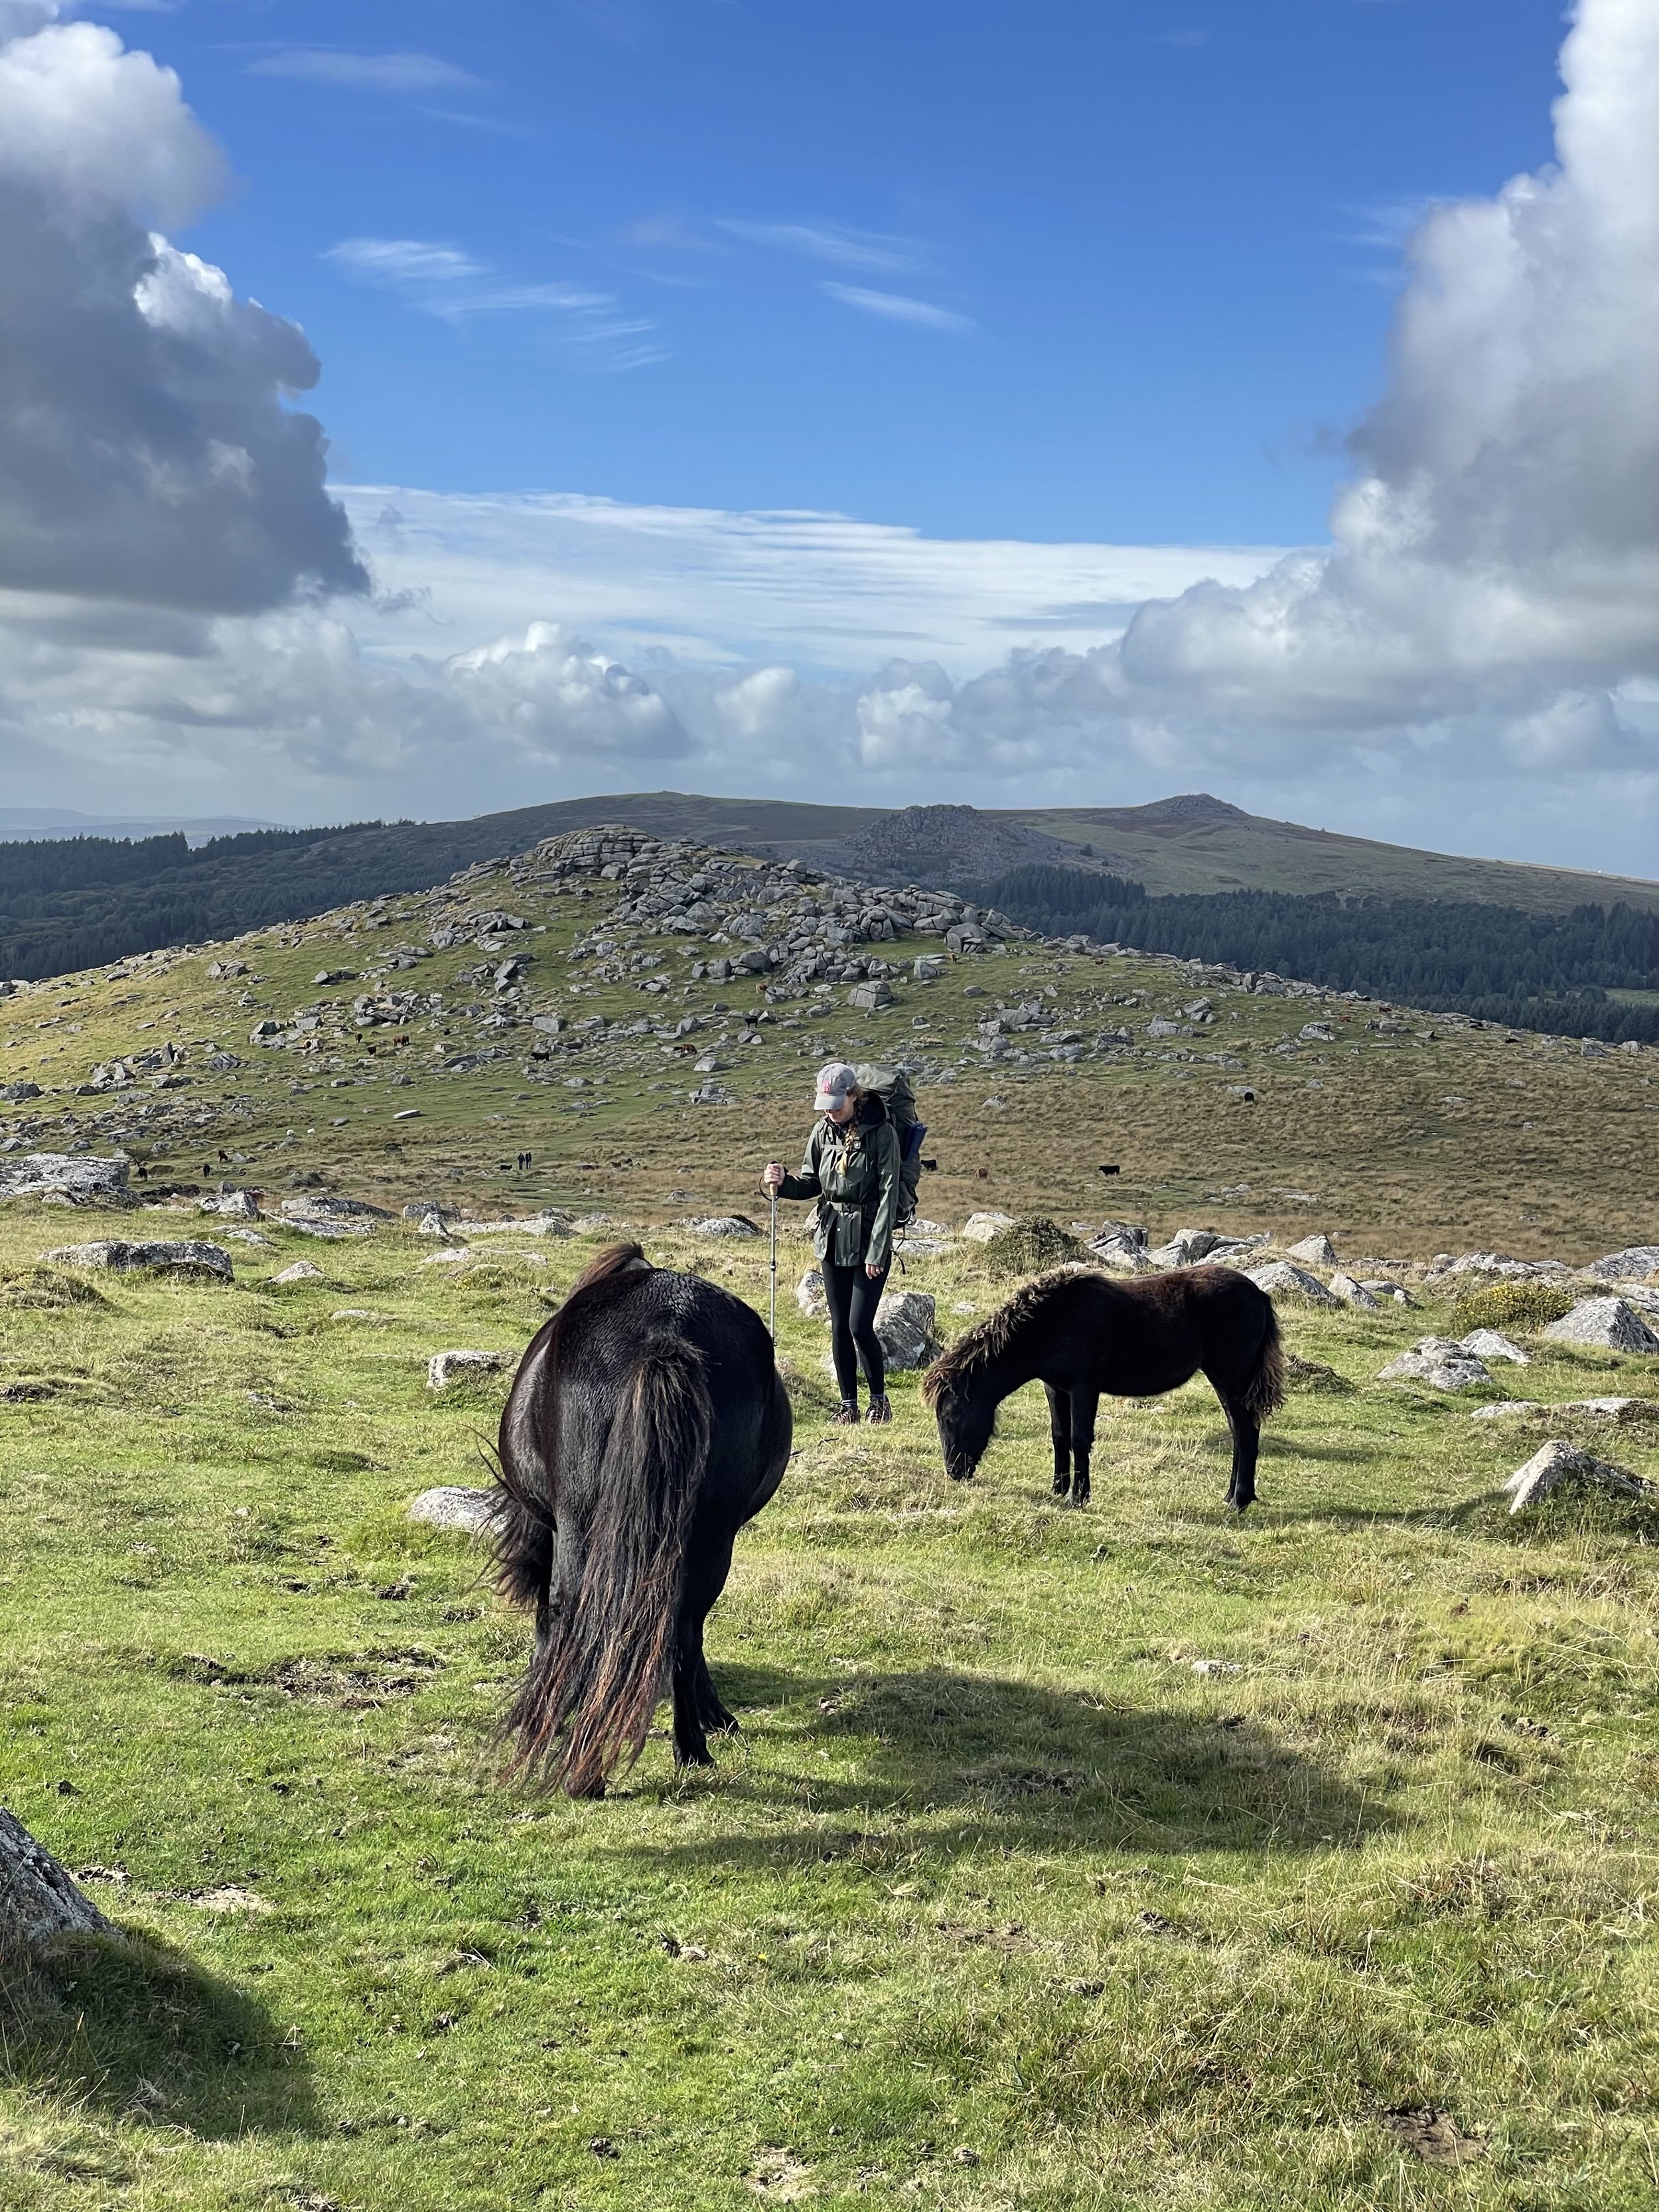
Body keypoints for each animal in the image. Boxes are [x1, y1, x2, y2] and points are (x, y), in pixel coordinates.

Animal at [491, 1247, 796, 1796]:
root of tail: (664, 1330)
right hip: (710, 1536)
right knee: (682, 1628)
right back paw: (683, 1749)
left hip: (584, 1526)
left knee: (579, 1614)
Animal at [924, 1274, 1283, 1512]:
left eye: (951, 1416)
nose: (954, 1472)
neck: (1051, 1323)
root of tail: (1258, 1294)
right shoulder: (1056, 1389)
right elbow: (1059, 1436)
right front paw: (1058, 1489)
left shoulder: (1084, 1389)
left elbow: (1079, 1439)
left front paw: (1078, 1497)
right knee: (1238, 1431)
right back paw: (1231, 1496)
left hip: (1231, 1377)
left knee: (1245, 1431)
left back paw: (1239, 1501)